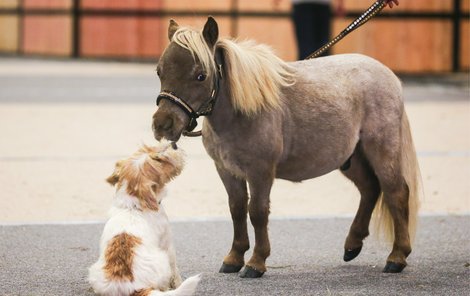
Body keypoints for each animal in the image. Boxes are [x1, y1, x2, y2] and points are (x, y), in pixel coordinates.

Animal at [88, 143, 200, 296]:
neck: (132, 207)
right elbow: (175, 269)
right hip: (162, 261)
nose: (173, 144)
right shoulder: (168, 244)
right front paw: (177, 283)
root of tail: (133, 287)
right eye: (159, 160)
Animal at [152, 17, 420, 278]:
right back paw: (352, 245)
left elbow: (257, 212)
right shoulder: (226, 170)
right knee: (370, 189)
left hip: (382, 150)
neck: (241, 111)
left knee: (396, 192)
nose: (163, 124)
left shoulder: (260, 172)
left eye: (201, 75)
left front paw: (256, 262)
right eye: (159, 71)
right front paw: (234, 258)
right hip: (351, 159)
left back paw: (397, 257)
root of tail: (389, 76)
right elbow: (237, 209)